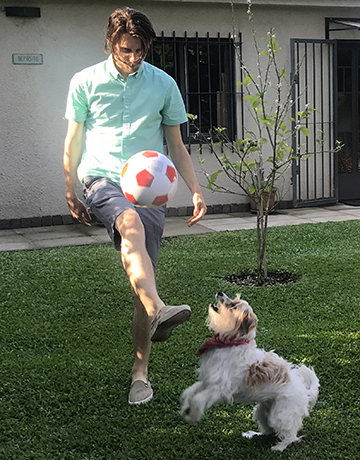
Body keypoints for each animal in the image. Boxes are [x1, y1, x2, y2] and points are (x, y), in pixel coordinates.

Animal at [181, 292, 320, 452]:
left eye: (233, 306)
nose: (220, 293)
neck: (229, 343)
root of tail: (306, 393)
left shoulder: (219, 389)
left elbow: (198, 399)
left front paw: (192, 415)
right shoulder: (208, 381)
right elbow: (191, 391)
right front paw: (185, 407)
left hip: (280, 414)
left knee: (290, 435)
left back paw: (279, 447)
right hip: (262, 411)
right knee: (268, 430)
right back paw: (253, 434)